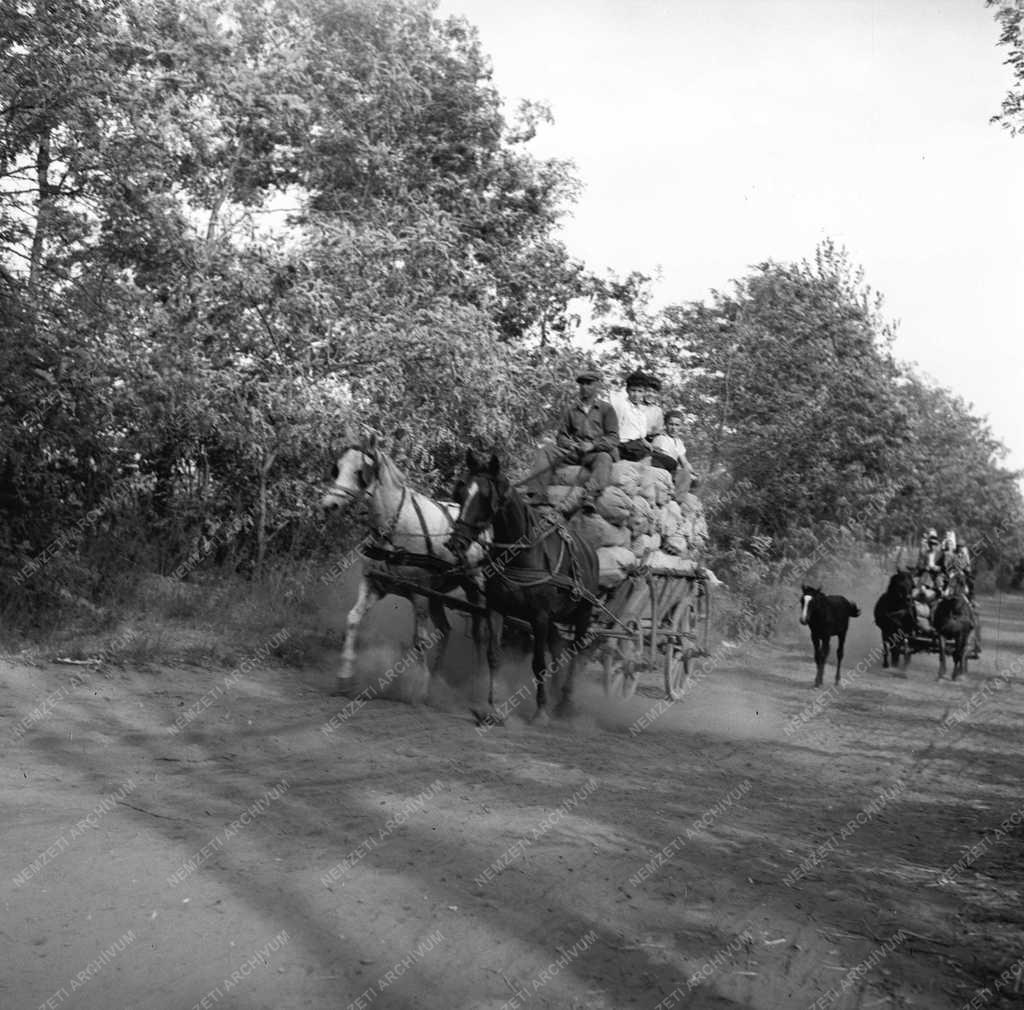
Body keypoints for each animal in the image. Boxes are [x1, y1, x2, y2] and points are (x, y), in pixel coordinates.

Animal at [317, 430, 489, 700]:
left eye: (360, 472)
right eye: (337, 468)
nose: (328, 505)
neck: (394, 528)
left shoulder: (419, 594)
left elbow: (420, 639)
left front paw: (417, 686)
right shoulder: (373, 583)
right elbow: (353, 619)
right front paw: (345, 677)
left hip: (475, 587)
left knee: (481, 636)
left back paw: (479, 686)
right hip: (437, 594)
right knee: (445, 630)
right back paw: (436, 681)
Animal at [448, 450, 598, 725]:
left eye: (485, 497)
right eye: (461, 492)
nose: (456, 543)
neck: (522, 554)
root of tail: (590, 549)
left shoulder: (539, 616)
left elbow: (538, 663)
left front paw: (541, 713)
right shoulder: (496, 607)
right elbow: (494, 655)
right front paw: (493, 708)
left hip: (583, 612)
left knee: (576, 653)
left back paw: (564, 704)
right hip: (554, 618)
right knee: (558, 646)